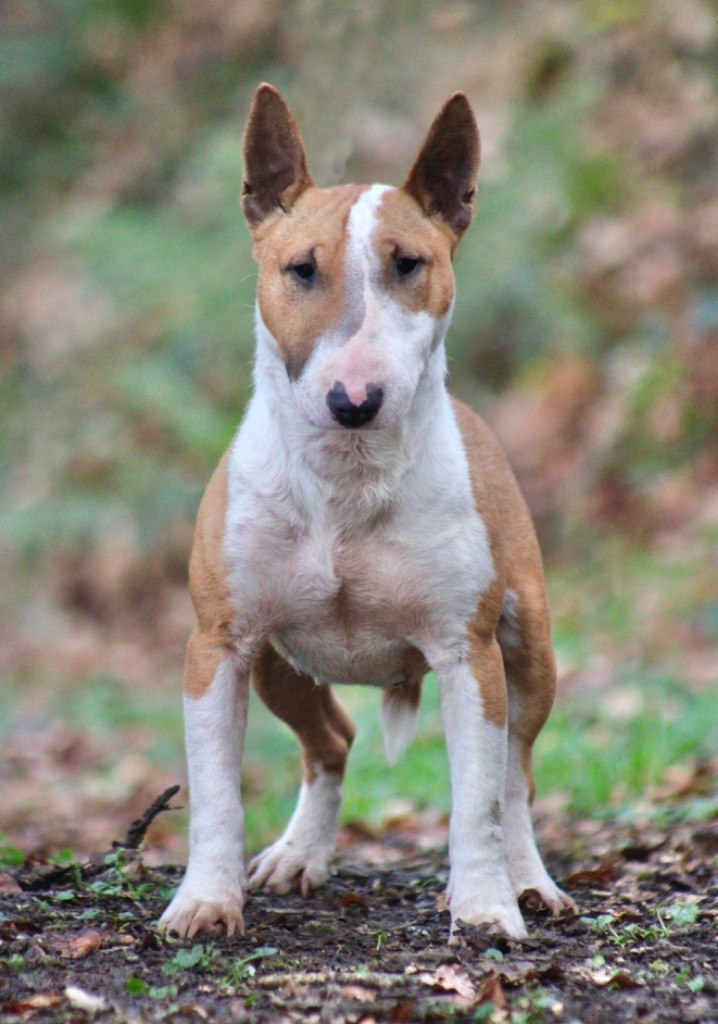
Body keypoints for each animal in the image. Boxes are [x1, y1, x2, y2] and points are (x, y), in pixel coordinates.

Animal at [157, 83, 577, 937]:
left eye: (409, 263)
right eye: (300, 270)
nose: (355, 401)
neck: (346, 481)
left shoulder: (466, 653)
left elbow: (477, 801)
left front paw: (483, 907)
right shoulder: (218, 646)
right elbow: (215, 795)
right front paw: (206, 901)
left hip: (529, 648)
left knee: (515, 774)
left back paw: (527, 881)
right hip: (279, 666)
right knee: (332, 740)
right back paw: (297, 855)